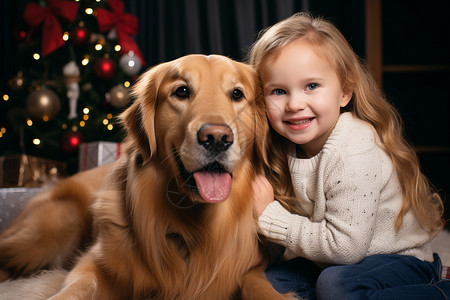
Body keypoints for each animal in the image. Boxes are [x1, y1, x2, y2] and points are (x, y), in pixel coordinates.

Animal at [0, 54, 296, 300]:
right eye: (182, 91)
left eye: (236, 94)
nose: (216, 138)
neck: (195, 227)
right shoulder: (94, 264)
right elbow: (75, 289)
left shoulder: (252, 265)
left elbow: (255, 284)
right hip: (50, 232)